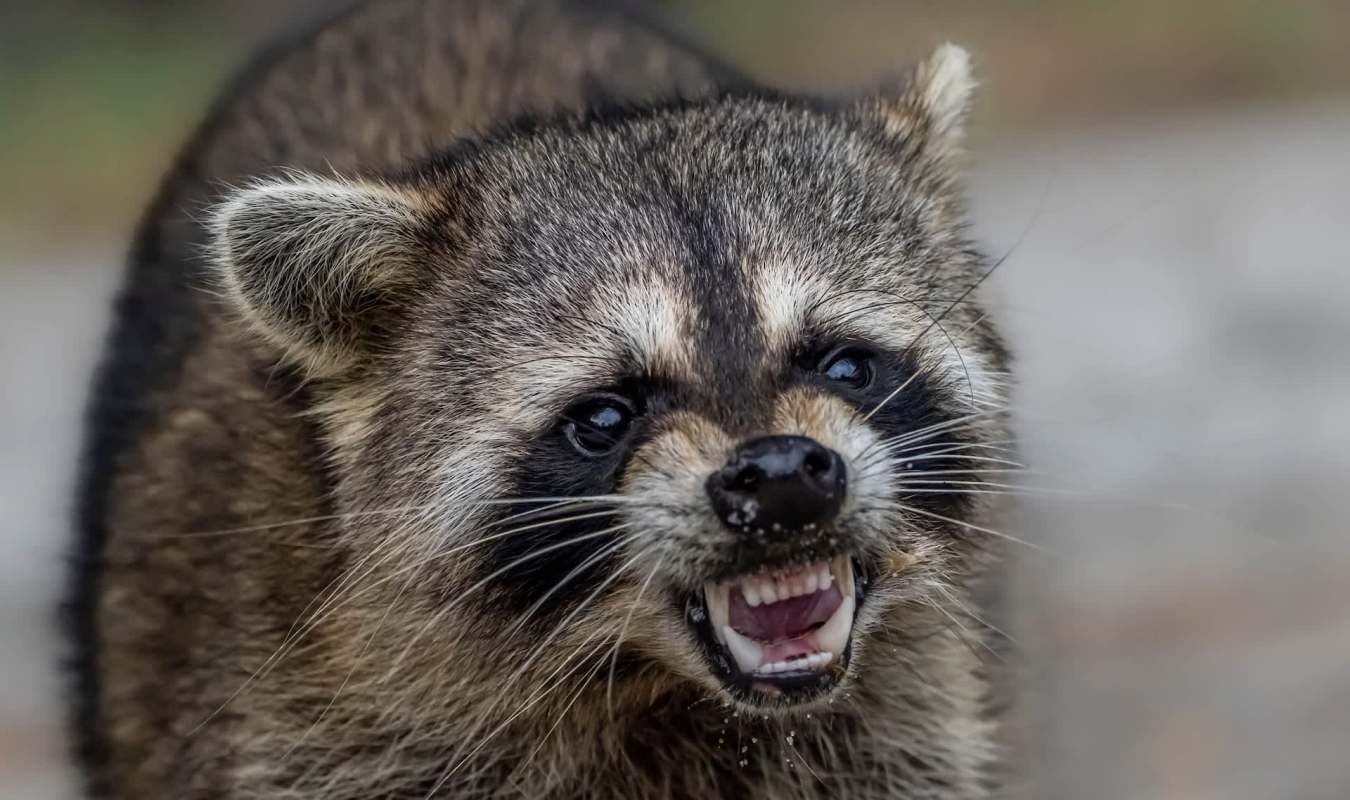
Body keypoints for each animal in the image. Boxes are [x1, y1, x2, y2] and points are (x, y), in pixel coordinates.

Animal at [69, 0, 1014, 797]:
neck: (662, 690)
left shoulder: (897, 731)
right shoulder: (302, 723)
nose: (782, 475)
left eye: (845, 367)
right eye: (605, 416)